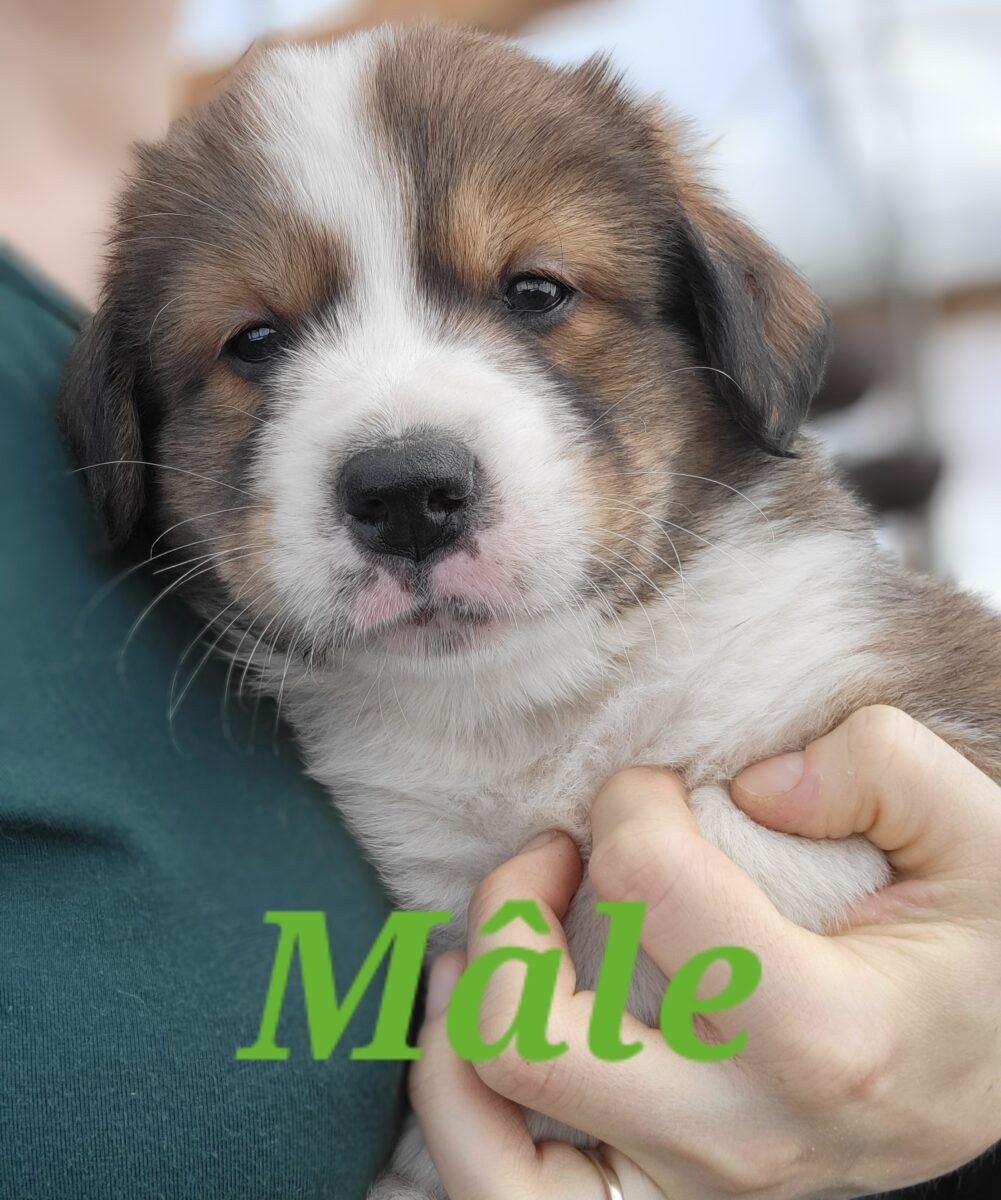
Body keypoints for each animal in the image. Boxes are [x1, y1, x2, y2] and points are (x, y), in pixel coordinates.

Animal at [60, 21, 998, 1200]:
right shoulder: (433, 865)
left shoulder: (905, 698)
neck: (540, 702)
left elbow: (705, 843)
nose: (406, 494)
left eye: (536, 291)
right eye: (254, 341)